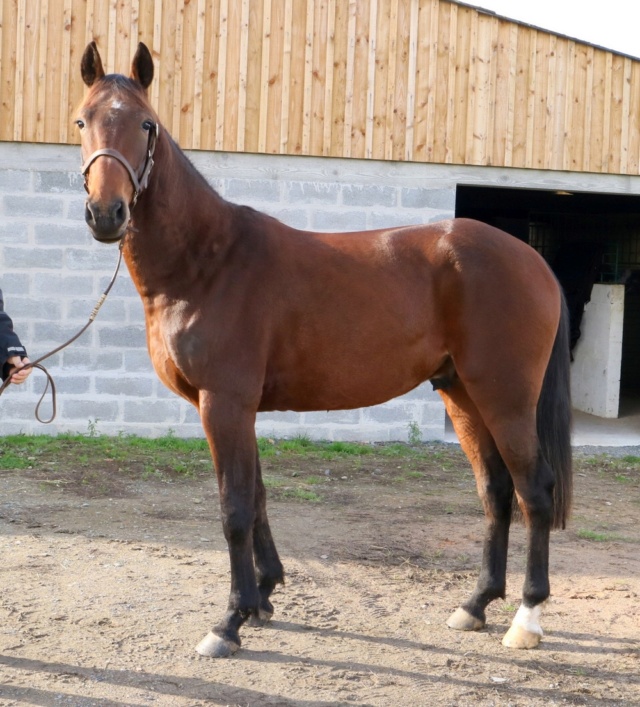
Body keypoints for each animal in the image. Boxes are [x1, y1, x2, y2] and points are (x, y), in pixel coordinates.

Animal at [77, 42, 572, 660]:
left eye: (146, 125)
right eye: (83, 121)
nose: (106, 214)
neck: (208, 261)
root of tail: (532, 259)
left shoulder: (224, 402)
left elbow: (234, 508)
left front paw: (229, 622)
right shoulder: (236, 407)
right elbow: (258, 497)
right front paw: (262, 596)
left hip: (504, 397)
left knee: (534, 491)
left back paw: (527, 617)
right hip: (461, 393)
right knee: (496, 491)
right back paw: (476, 604)